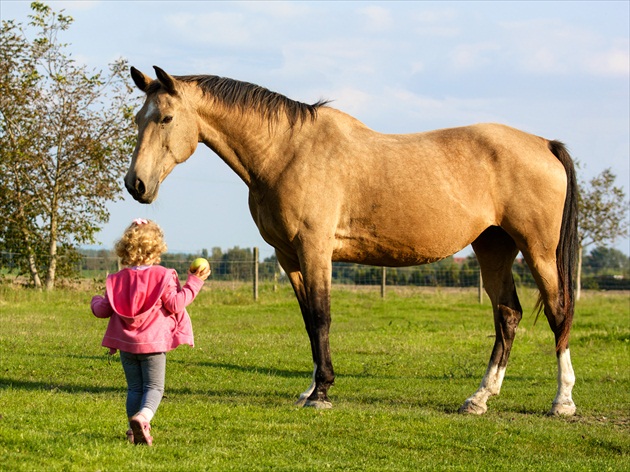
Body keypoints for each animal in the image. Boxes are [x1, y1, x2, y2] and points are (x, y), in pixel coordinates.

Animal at [126, 64, 580, 414]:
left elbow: (322, 316)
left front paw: (322, 392)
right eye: (137, 119)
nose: (136, 184)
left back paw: (562, 401)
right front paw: (311, 388)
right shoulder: (288, 256)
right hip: (493, 246)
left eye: (165, 118)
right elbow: (309, 321)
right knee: (507, 316)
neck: (286, 152)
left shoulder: (315, 249)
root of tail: (544, 144)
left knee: (558, 312)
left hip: (538, 250)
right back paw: (480, 398)